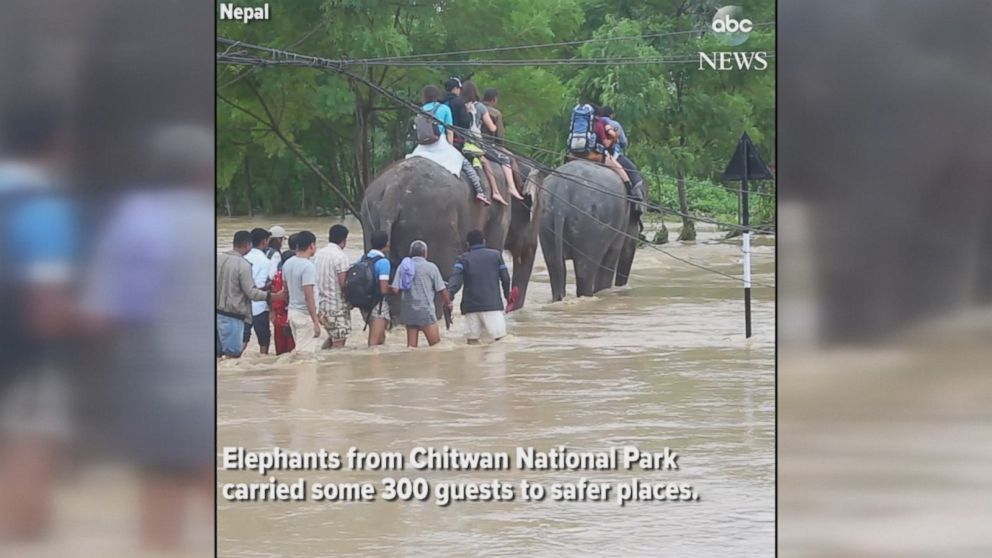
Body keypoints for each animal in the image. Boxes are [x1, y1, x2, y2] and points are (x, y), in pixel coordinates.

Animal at [540, 160, 640, 304]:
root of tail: (563, 188)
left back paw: (558, 299)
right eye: (637, 215)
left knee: (554, 266)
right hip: (591, 226)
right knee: (585, 271)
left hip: (545, 217)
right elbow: (611, 256)